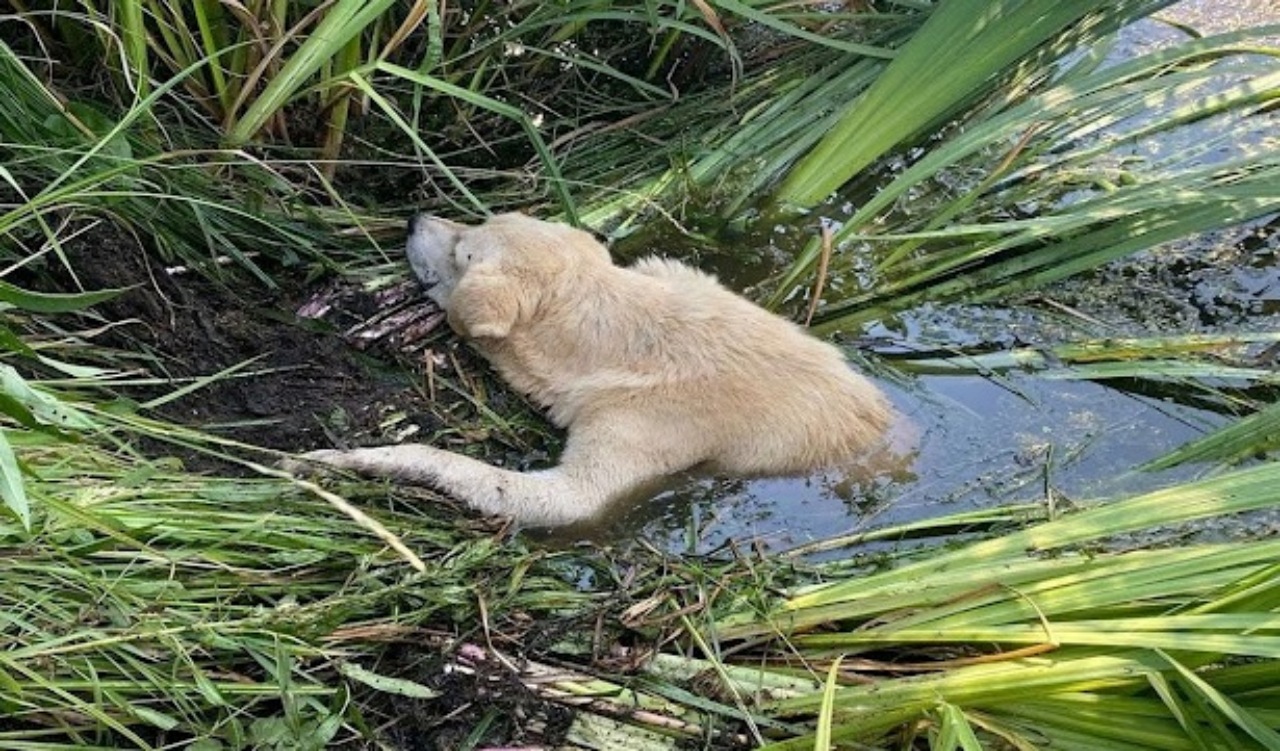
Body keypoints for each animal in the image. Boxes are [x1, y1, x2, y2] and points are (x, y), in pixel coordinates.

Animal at [289, 214, 890, 527]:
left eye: (464, 250)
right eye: (477, 220)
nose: (415, 216)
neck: (624, 336)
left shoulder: (635, 429)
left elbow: (554, 498)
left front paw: (340, 459)